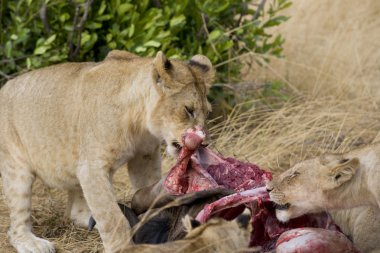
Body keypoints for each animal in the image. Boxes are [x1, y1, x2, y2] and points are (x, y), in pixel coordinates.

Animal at [0, 50, 214, 253]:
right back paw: (33, 244)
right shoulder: (92, 168)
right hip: (17, 169)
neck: (140, 124)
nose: (204, 142)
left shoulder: (144, 156)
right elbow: (111, 216)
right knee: (15, 227)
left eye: (207, 112)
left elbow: (147, 188)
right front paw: (123, 247)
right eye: (188, 110)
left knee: (75, 212)